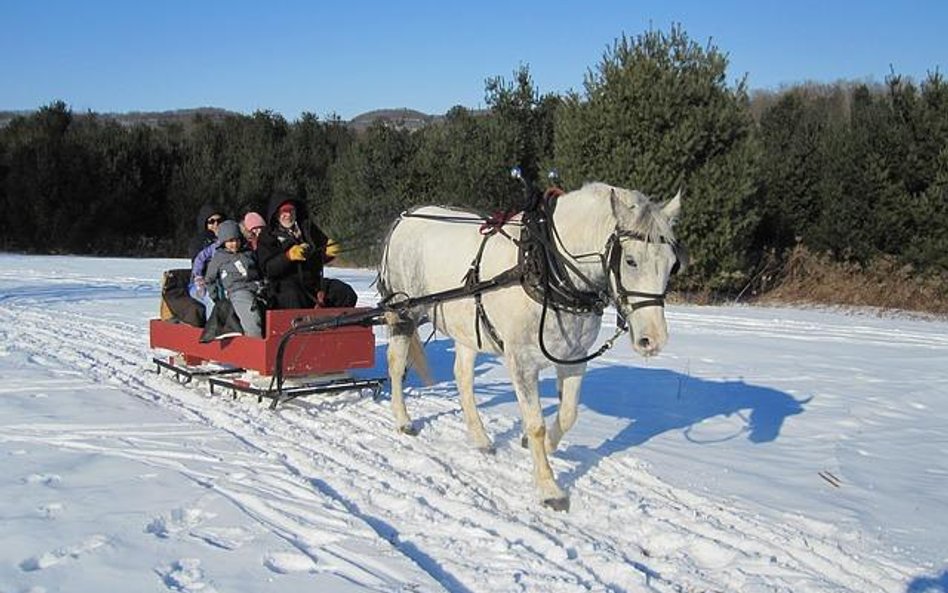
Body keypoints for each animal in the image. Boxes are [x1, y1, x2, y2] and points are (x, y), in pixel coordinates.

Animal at [378, 182, 680, 508]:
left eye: (672, 265)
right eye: (630, 260)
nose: (653, 340)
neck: (548, 269)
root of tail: (404, 217)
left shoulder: (574, 357)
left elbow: (568, 414)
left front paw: (545, 446)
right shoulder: (521, 361)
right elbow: (536, 423)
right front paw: (550, 488)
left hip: (467, 328)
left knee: (463, 378)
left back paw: (480, 437)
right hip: (403, 313)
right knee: (396, 365)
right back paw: (404, 420)